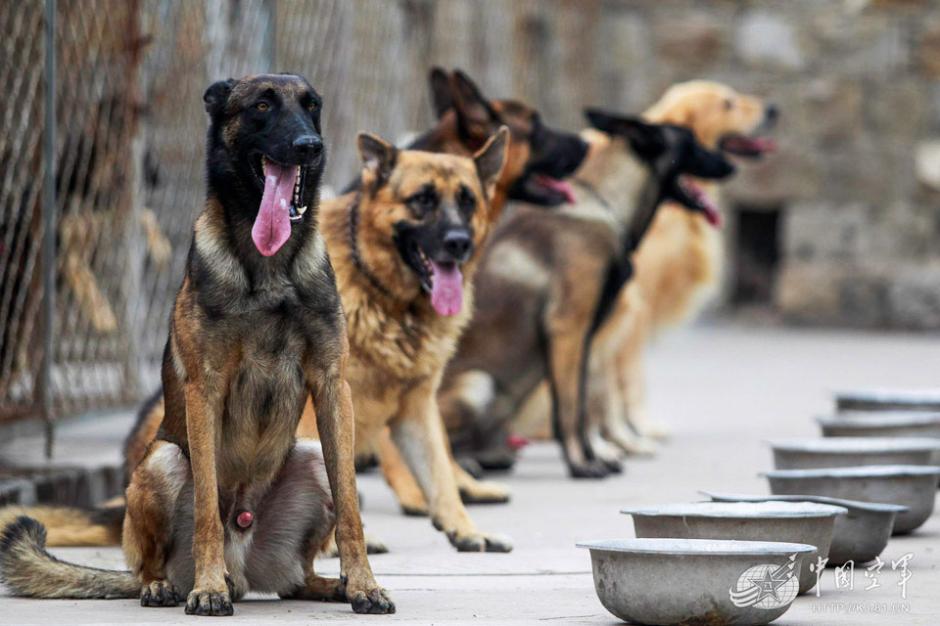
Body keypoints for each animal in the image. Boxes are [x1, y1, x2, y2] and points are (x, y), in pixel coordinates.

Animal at [0, 73, 392, 616]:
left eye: (311, 106)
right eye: (262, 105)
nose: (309, 146)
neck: (269, 267)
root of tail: (246, 571)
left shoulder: (333, 386)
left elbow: (351, 503)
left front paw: (363, 584)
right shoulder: (204, 390)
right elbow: (207, 503)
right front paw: (208, 587)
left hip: (310, 456)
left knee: (297, 576)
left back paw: (323, 585)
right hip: (160, 463)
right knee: (147, 563)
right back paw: (170, 585)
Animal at [438, 108, 736, 478]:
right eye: (691, 141)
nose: (730, 166)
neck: (605, 205)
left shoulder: (589, 337)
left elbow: (584, 403)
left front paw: (596, 456)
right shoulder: (569, 328)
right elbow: (570, 407)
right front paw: (582, 464)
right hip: (478, 384)